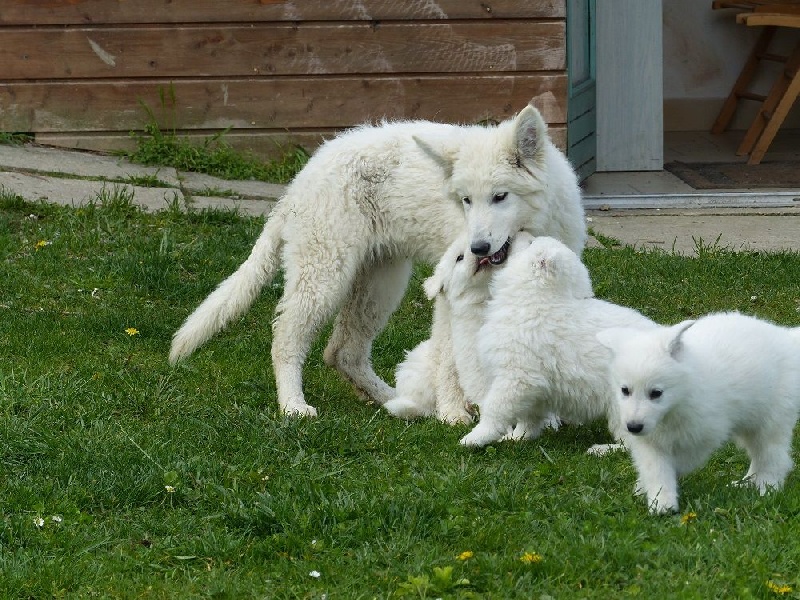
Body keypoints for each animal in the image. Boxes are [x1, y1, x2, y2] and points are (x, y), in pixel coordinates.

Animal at [169, 103, 584, 418]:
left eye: (500, 196)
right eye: (466, 200)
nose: (478, 248)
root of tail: (297, 184)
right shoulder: (452, 292)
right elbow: (451, 357)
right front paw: (454, 414)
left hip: (380, 281)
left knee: (342, 352)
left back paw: (392, 401)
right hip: (326, 272)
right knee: (287, 338)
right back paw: (293, 405)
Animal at [456, 237, 656, 448]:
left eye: (531, 242)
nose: (522, 235)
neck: (537, 298)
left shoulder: (516, 377)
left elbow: (495, 409)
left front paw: (475, 438)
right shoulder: (535, 387)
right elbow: (528, 417)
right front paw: (518, 438)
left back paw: (602, 449)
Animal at [596, 314, 800, 516]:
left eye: (656, 393)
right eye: (625, 390)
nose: (633, 427)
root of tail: (788, 338)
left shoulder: (700, 438)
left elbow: (676, 464)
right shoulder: (649, 441)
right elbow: (655, 467)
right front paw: (659, 500)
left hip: (772, 421)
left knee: (773, 456)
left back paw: (766, 488)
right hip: (751, 424)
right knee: (758, 455)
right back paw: (745, 484)